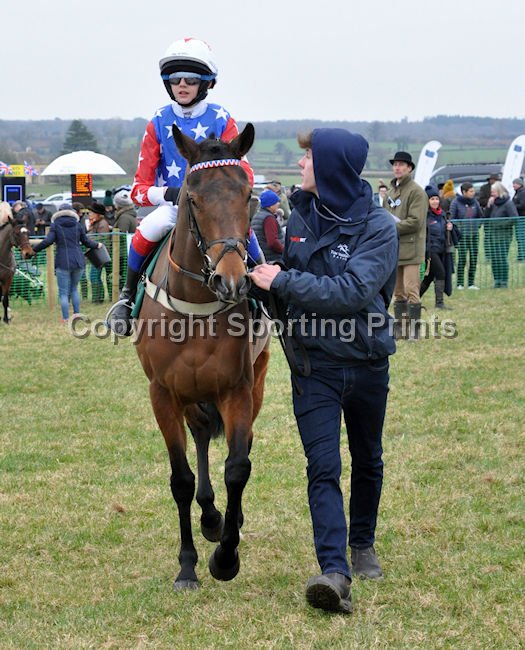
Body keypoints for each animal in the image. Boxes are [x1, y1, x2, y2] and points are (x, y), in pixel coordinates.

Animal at [134, 123, 271, 591]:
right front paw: (188, 564)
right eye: (192, 198)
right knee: (199, 438)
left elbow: (238, 466)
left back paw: (226, 521)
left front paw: (225, 558)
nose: (232, 281)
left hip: (256, 380)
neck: (194, 308)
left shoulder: (236, 389)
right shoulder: (162, 393)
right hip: (190, 396)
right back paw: (209, 516)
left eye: (248, 194)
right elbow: (181, 478)